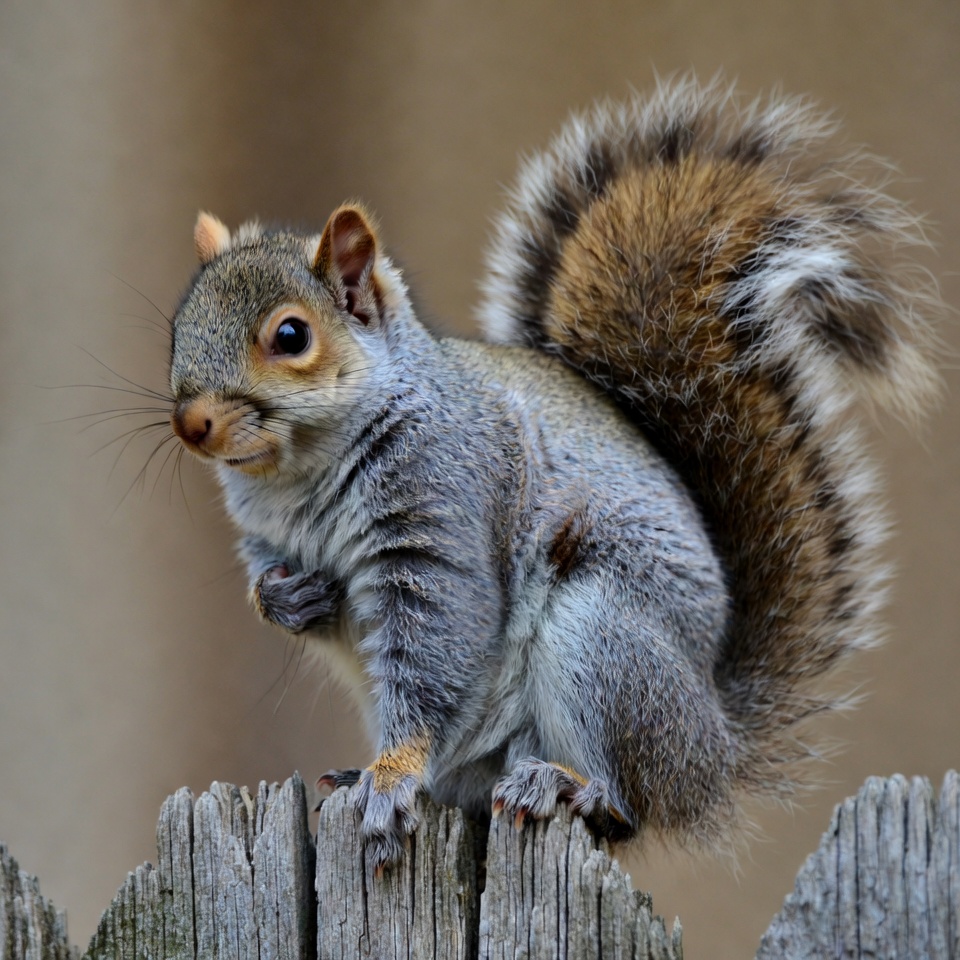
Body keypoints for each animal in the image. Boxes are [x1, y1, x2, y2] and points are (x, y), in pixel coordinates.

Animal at [168, 78, 939, 871]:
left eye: (291, 335)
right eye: (178, 328)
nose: (190, 423)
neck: (299, 474)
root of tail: (715, 751)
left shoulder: (441, 524)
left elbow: (435, 653)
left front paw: (393, 775)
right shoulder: (271, 538)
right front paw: (285, 601)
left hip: (603, 641)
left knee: (627, 806)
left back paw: (567, 786)